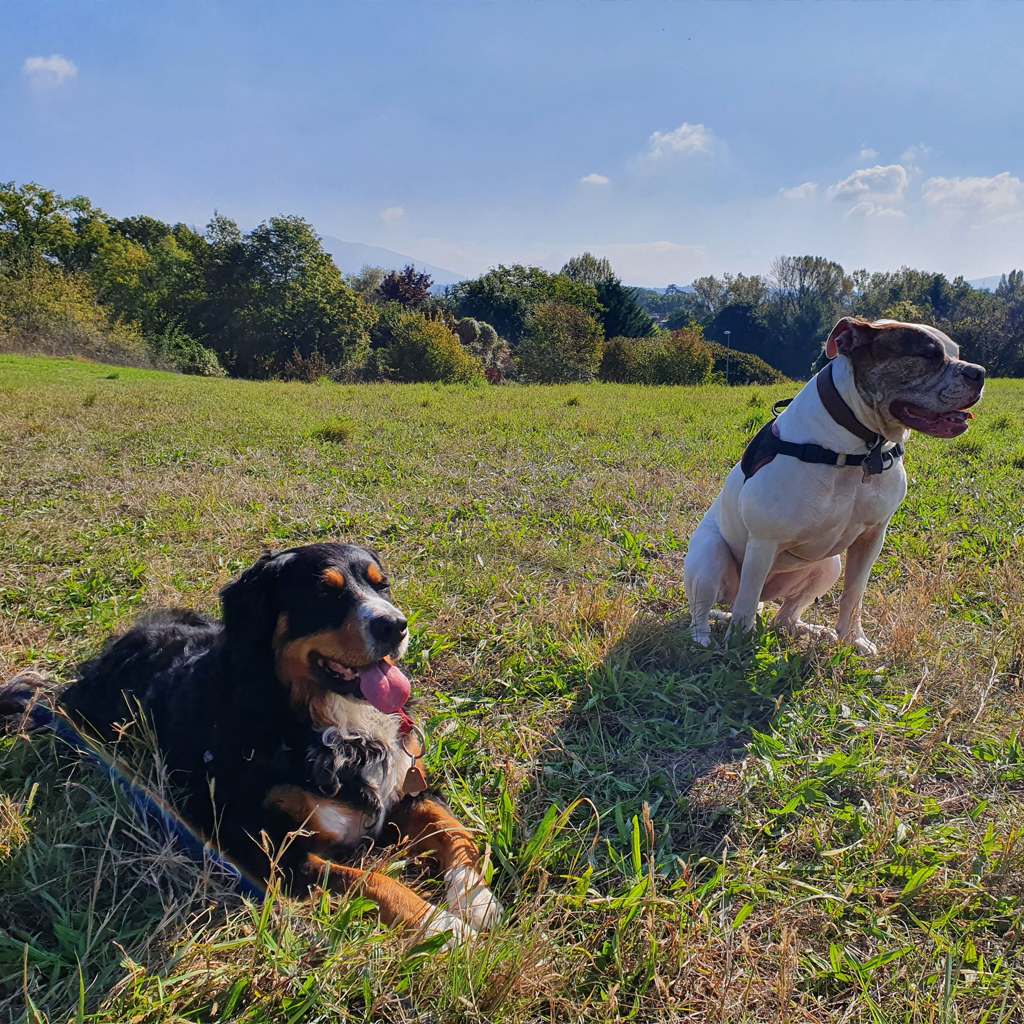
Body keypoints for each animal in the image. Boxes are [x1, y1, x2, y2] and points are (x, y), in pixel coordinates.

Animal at [1, 544, 499, 942]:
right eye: (324, 594)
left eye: (383, 586)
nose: (396, 626)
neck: (332, 724)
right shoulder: (271, 849)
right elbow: (373, 882)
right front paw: (444, 927)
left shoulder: (405, 789)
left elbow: (454, 831)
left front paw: (476, 898)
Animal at [684, 317, 987, 655]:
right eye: (929, 355)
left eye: (956, 352)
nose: (978, 372)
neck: (859, 448)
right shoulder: (763, 542)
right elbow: (745, 607)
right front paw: (739, 646)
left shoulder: (871, 538)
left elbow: (853, 596)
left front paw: (852, 639)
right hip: (709, 559)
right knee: (710, 611)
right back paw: (704, 641)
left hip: (828, 565)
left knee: (782, 617)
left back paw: (813, 630)